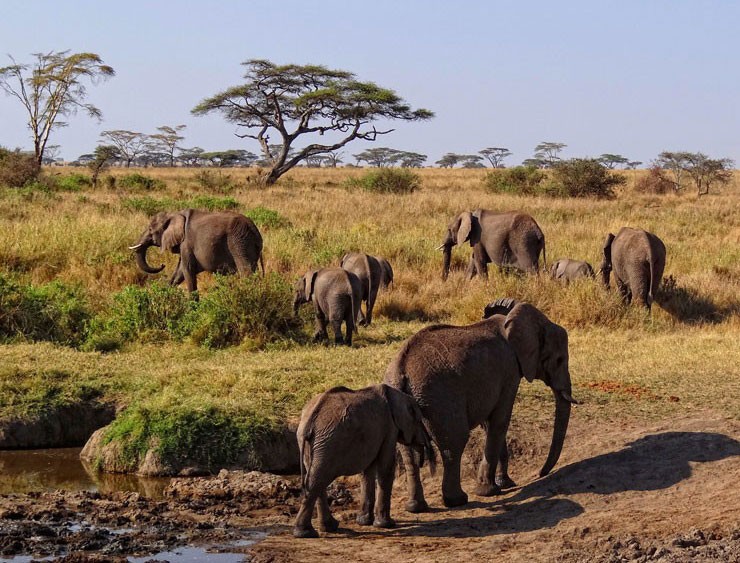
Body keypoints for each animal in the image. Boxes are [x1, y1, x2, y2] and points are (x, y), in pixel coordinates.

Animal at [129, 209, 264, 293]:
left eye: (150, 229)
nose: (162, 265)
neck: (174, 213)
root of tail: (254, 229)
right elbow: (179, 272)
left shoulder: (186, 243)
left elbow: (187, 269)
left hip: (239, 242)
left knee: (246, 271)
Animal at [294, 384, 435, 538]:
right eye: (419, 420)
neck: (399, 395)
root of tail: (309, 422)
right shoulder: (390, 428)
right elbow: (386, 468)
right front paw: (387, 525)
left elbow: (367, 471)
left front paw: (364, 522)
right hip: (328, 443)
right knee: (317, 480)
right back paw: (305, 533)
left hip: (313, 443)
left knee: (317, 479)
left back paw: (328, 527)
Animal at [384, 297, 577, 511]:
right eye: (559, 360)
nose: (541, 474)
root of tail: (401, 371)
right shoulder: (509, 370)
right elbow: (500, 420)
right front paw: (489, 491)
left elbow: (489, 423)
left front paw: (505, 484)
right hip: (440, 400)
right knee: (454, 443)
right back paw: (457, 500)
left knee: (408, 452)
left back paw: (416, 507)